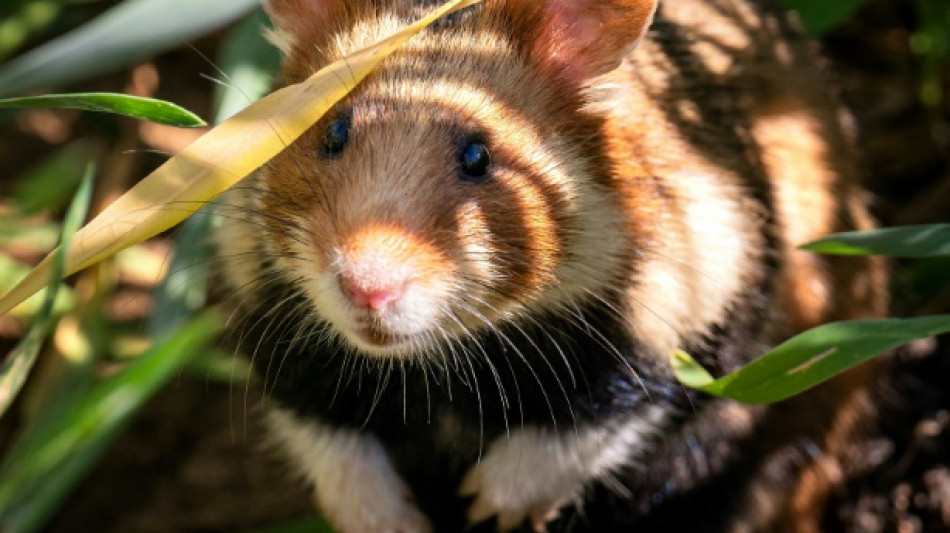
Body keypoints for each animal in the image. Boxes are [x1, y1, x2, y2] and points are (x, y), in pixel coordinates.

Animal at [213, 0, 887, 531]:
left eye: (479, 156)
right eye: (333, 133)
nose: (366, 289)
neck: (435, 370)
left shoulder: (696, 315)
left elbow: (608, 414)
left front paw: (487, 510)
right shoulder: (285, 344)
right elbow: (335, 448)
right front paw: (397, 524)